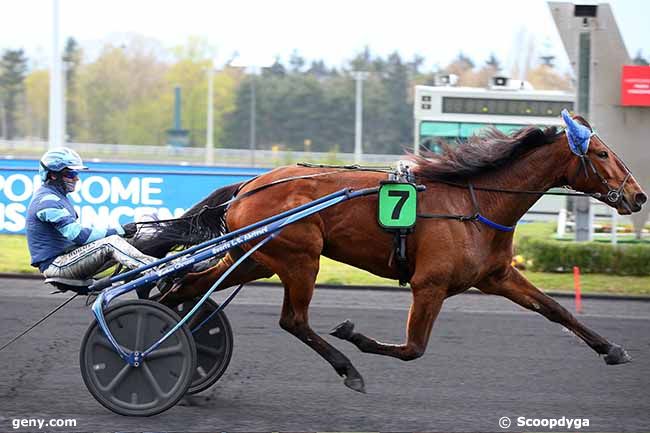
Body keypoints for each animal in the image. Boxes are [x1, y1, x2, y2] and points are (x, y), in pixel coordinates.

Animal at [138, 114, 644, 392]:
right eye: (601, 153)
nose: (637, 196)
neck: (476, 203)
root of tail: (249, 184)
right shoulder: (429, 284)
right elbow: (413, 349)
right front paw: (354, 337)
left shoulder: (497, 276)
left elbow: (557, 310)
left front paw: (612, 348)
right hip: (300, 258)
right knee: (293, 321)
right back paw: (347, 368)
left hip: (256, 259)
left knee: (186, 286)